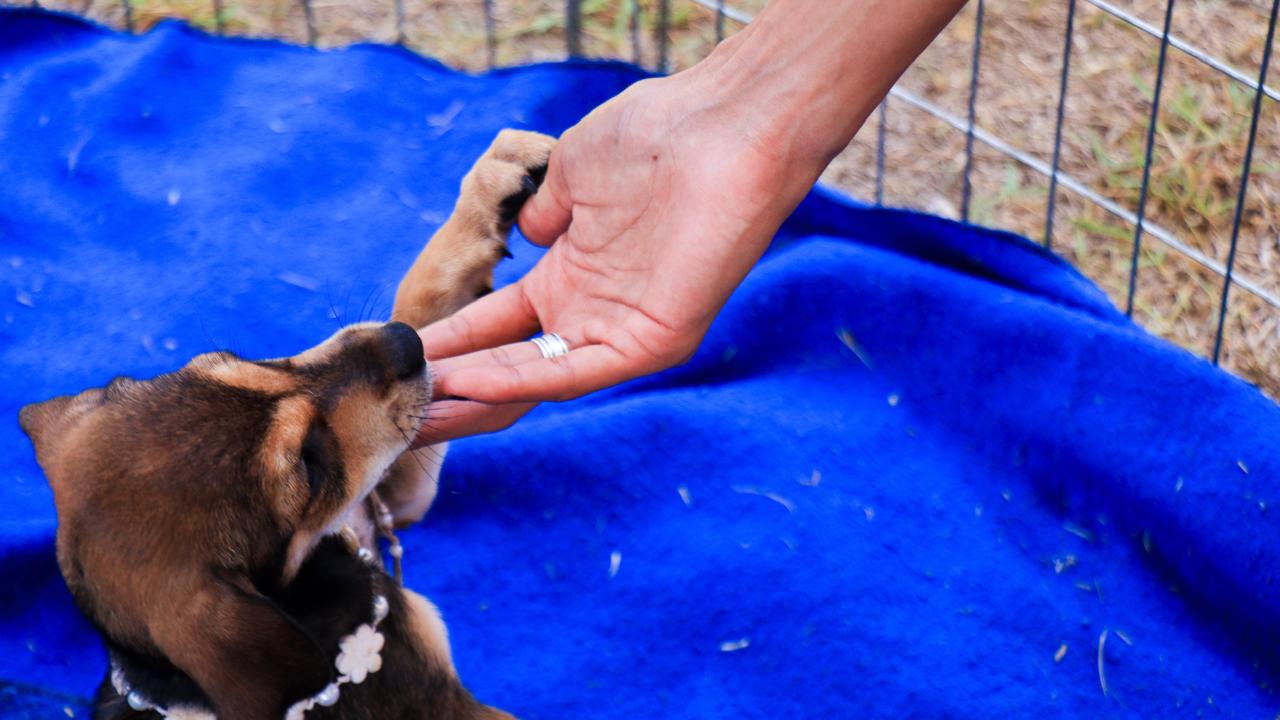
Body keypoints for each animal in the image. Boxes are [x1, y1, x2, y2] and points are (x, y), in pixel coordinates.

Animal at [17, 128, 552, 717]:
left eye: (234, 359)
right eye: (309, 465)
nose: (404, 343)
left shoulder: (379, 504)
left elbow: (423, 291)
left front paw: (497, 177)